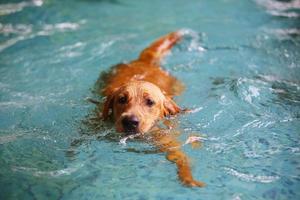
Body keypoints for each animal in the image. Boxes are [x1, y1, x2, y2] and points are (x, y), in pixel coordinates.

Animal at [97, 31, 205, 188]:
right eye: (121, 99)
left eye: (150, 102)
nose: (130, 121)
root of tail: (144, 61)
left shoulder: (169, 144)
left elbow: (181, 158)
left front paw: (188, 177)